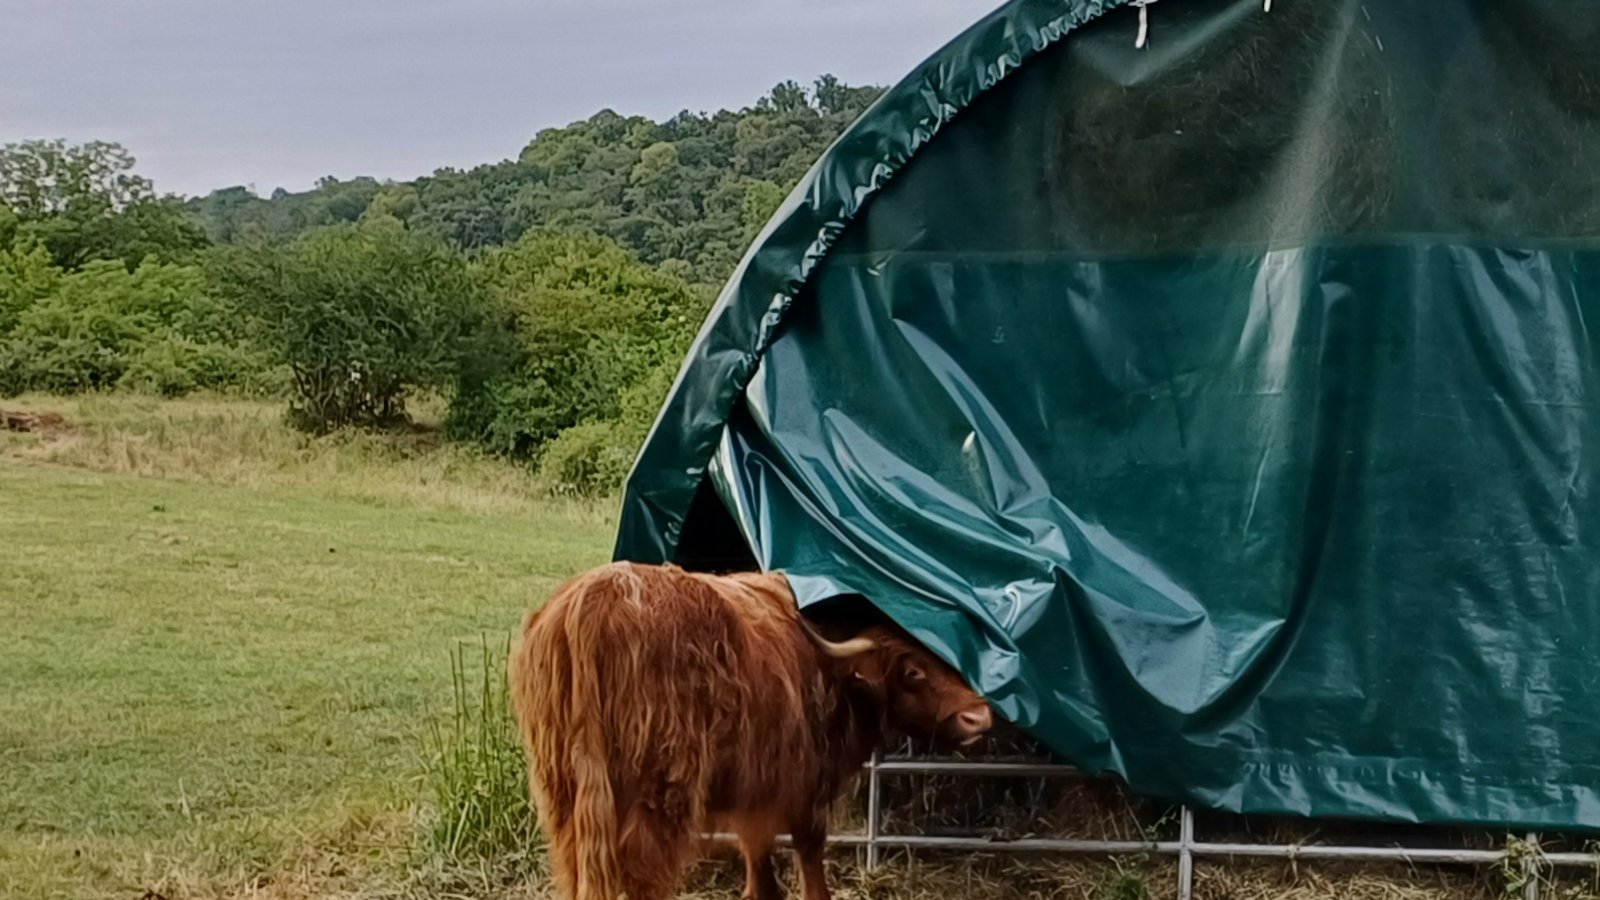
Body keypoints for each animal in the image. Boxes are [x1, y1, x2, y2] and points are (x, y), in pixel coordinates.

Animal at [508, 561, 994, 900]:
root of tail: (590, 601)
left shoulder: (754, 796)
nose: (980, 717)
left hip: (564, 797)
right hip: (658, 795)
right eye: (912, 670)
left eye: (953, 659)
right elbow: (808, 866)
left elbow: (760, 874)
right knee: (643, 877)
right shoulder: (802, 789)